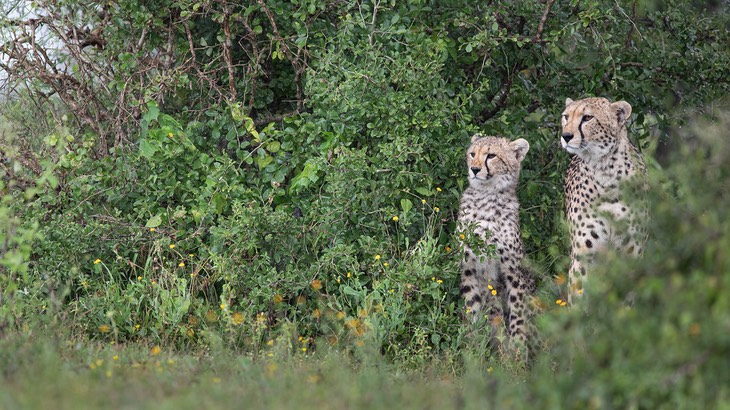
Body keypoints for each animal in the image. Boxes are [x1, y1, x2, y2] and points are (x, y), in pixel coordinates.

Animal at [458, 134, 532, 352]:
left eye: (491, 156)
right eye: (472, 154)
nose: (474, 169)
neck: (487, 195)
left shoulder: (513, 269)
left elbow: (517, 311)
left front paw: (517, 350)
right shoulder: (469, 267)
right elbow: (473, 306)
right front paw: (474, 347)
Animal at [560, 96, 644, 302]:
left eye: (587, 117)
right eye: (566, 117)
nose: (566, 136)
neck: (607, 172)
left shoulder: (632, 252)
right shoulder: (583, 256)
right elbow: (579, 296)